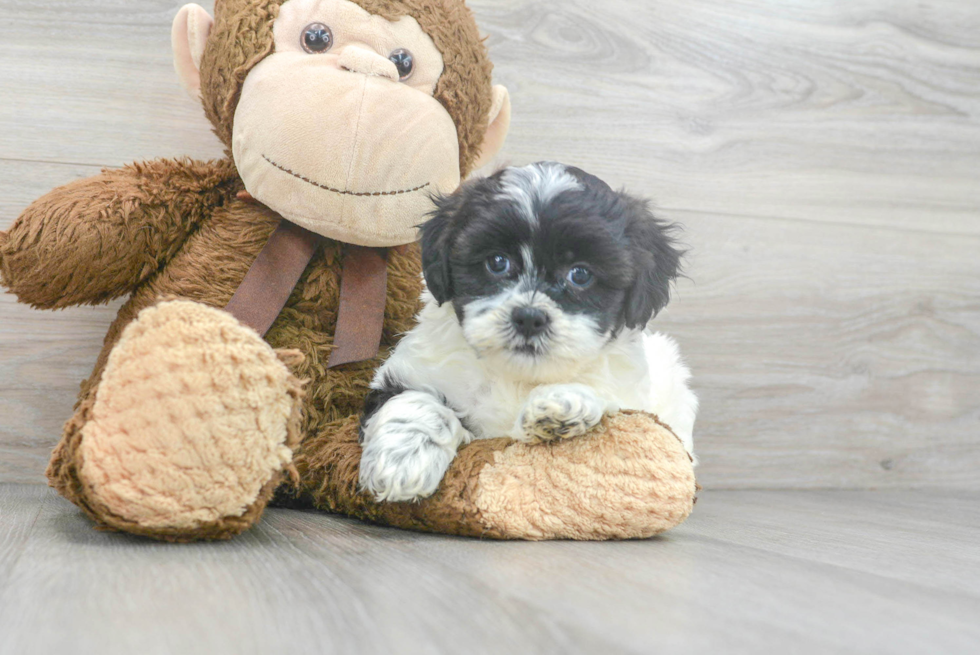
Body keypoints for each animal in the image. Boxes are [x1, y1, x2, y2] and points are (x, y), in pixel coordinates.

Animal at [358, 163, 696, 502]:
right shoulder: (413, 369)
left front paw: (562, 406)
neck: (518, 375)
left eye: (580, 274)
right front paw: (403, 458)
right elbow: (416, 399)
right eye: (497, 262)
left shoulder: (634, 400)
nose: (529, 318)